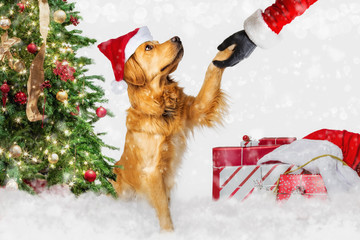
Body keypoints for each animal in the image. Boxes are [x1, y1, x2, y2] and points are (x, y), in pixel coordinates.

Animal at [111, 35, 232, 231]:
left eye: (157, 41)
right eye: (149, 47)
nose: (177, 37)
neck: (161, 109)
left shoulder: (198, 108)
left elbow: (211, 72)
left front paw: (226, 51)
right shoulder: (152, 171)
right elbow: (162, 207)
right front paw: (169, 232)